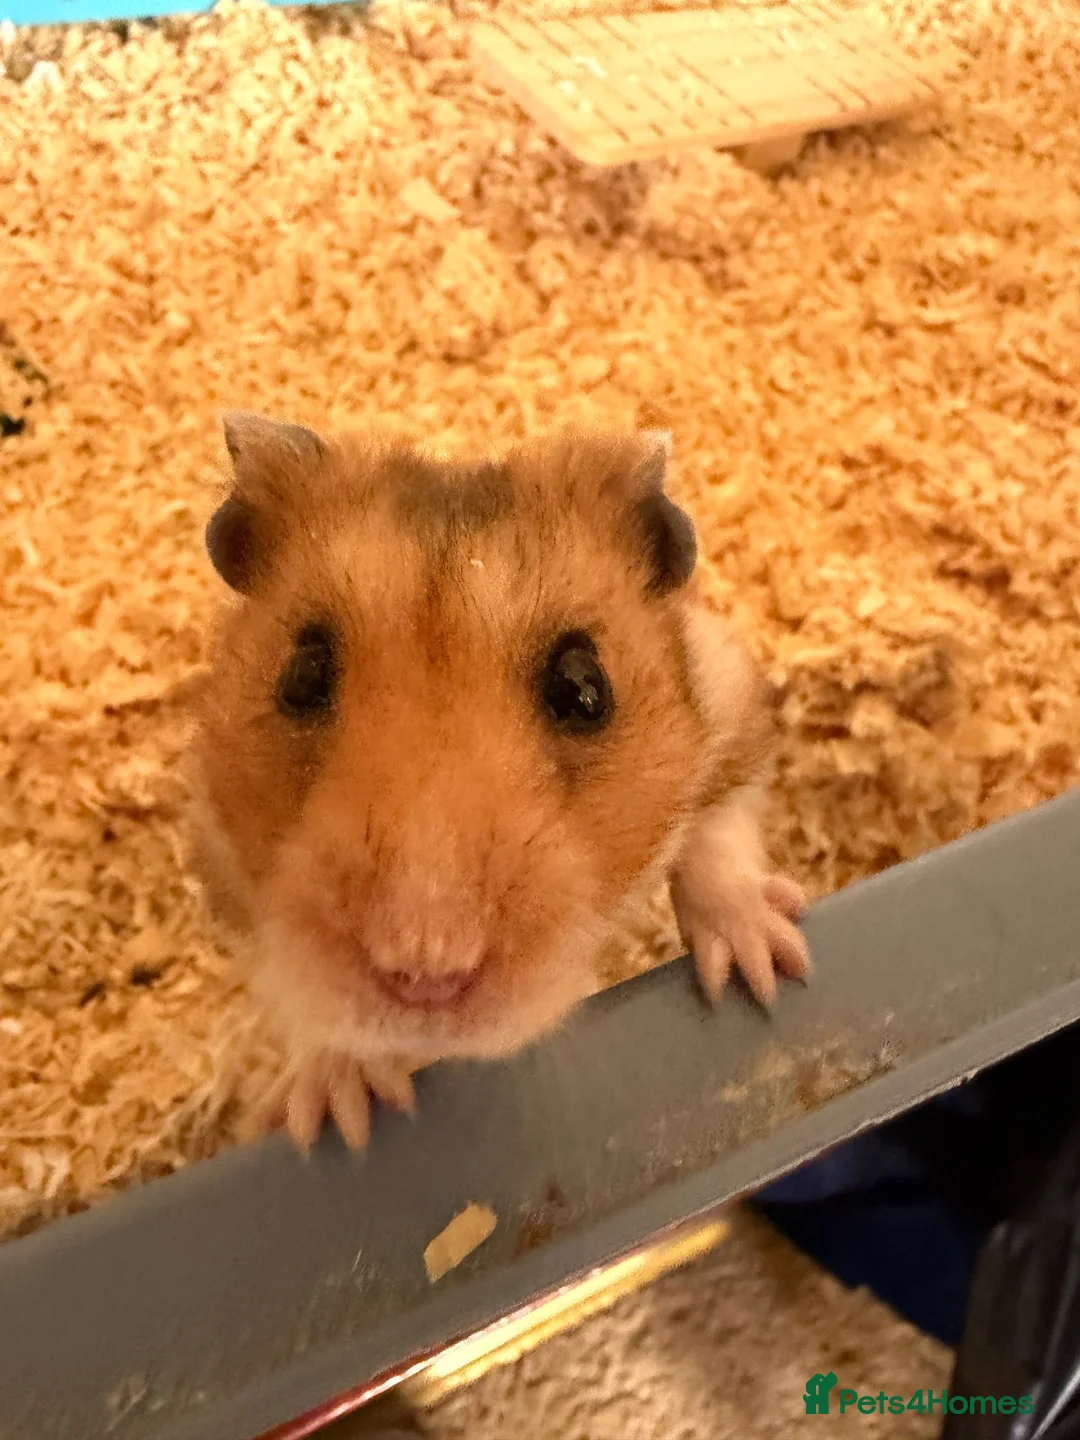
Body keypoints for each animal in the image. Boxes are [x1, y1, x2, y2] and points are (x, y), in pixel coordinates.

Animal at [189, 413, 811, 1152]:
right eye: (301, 676)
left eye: (583, 688)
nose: (425, 972)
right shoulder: (226, 875)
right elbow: (305, 1008)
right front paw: (337, 1120)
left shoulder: (732, 710)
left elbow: (718, 839)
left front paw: (768, 974)